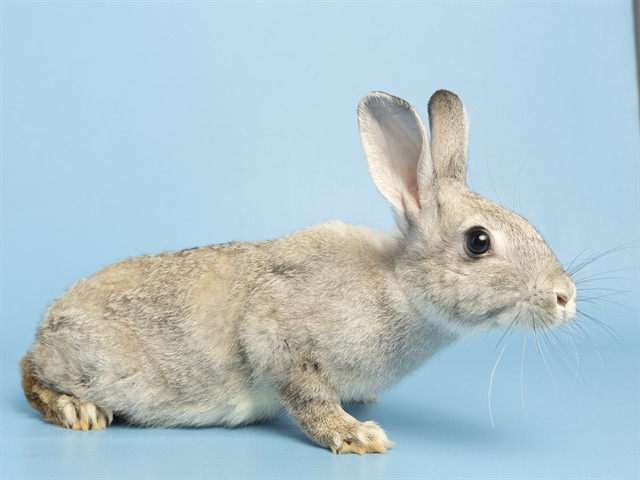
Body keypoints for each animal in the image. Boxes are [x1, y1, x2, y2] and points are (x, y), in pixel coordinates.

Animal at [21, 90, 577, 454]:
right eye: (478, 242)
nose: (566, 297)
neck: (399, 287)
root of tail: (46, 328)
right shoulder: (278, 337)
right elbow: (307, 395)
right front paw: (357, 435)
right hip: (89, 364)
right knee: (31, 374)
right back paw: (79, 412)